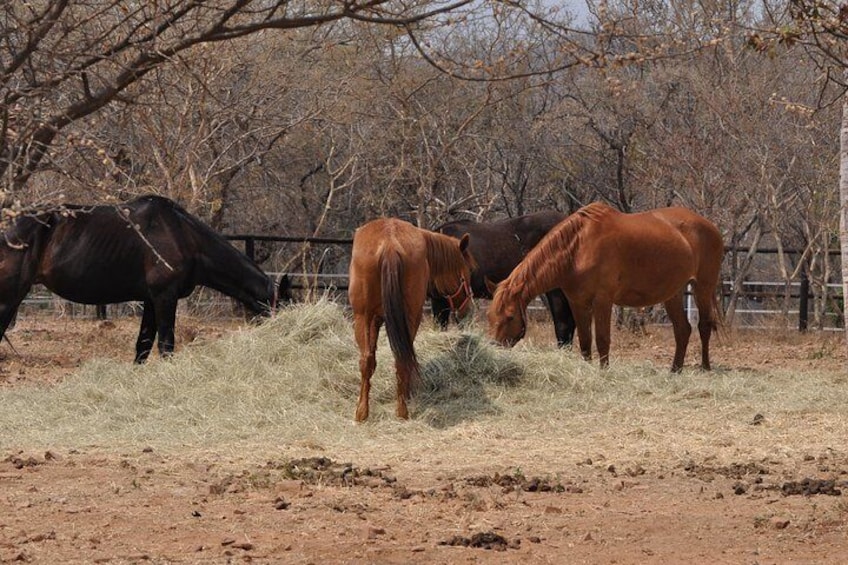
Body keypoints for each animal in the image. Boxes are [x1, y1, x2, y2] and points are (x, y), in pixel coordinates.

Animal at [0, 194, 284, 362]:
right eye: (281, 306)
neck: (182, 235)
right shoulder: (165, 297)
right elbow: (166, 345)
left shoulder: (150, 300)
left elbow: (143, 346)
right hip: (9, 297)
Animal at [346, 218, 476, 420]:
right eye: (468, 270)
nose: (467, 309)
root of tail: (390, 244)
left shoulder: (374, 320)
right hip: (406, 318)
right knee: (399, 359)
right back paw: (399, 411)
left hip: (364, 318)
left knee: (372, 360)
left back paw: (365, 412)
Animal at [490, 202, 724, 370]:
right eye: (490, 317)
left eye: (510, 316)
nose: (495, 347)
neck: (578, 249)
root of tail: (710, 226)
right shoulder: (578, 302)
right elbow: (585, 341)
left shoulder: (602, 300)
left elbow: (602, 339)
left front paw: (604, 371)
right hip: (673, 293)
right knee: (682, 329)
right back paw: (675, 370)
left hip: (702, 288)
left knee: (704, 326)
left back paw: (705, 367)